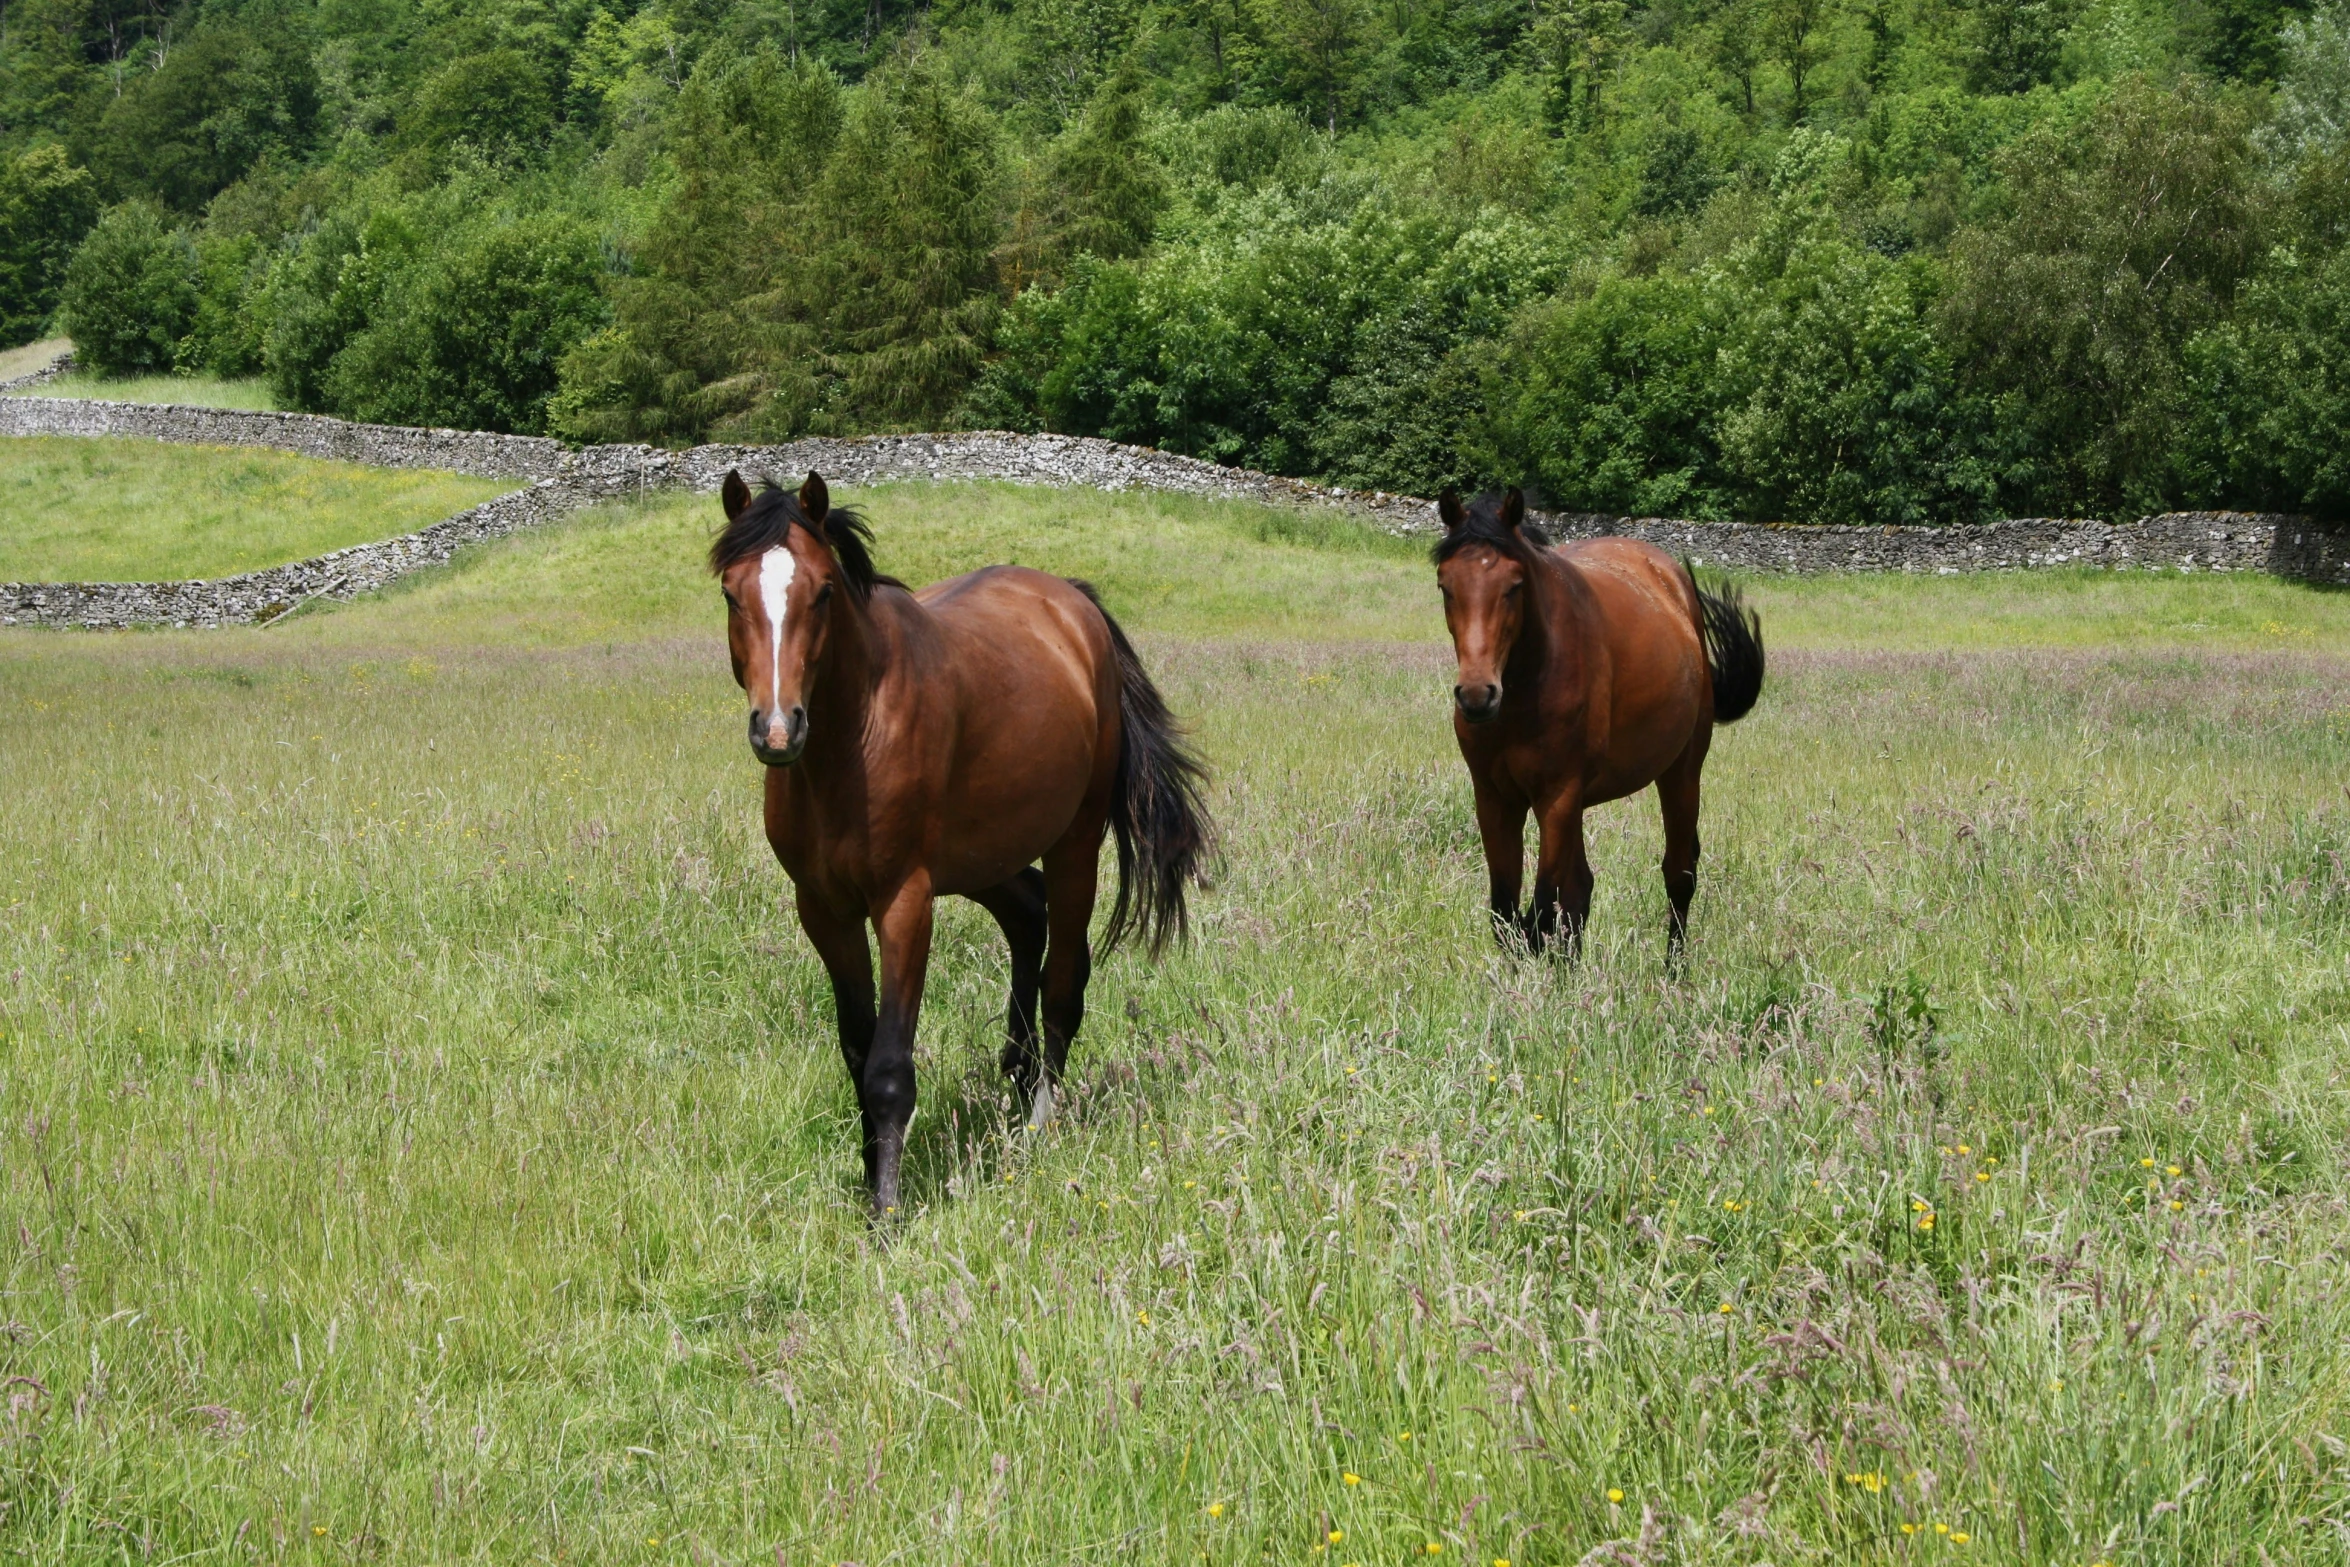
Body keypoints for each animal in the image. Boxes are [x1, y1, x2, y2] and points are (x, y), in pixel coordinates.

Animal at [709, 472, 1212, 1221]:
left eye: (823, 591)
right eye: (730, 592)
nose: (777, 728)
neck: (850, 742)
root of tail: (1073, 606)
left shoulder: (904, 902)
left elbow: (889, 1067)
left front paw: (886, 1213)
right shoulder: (824, 908)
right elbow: (857, 1049)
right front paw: (870, 1178)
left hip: (1074, 843)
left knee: (1064, 980)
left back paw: (1037, 1124)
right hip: (984, 858)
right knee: (1028, 915)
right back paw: (1017, 1071)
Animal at [1428, 486, 1767, 958]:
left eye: (1515, 586)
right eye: (1446, 586)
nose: (1477, 695)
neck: (1527, 689)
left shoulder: (1558, 796)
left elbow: (1539, 915)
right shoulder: (1495, 798)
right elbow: (1508, 917)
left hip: (1680, 773)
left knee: (1679, 875)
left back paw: (1674, 970)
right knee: (1579, 892)